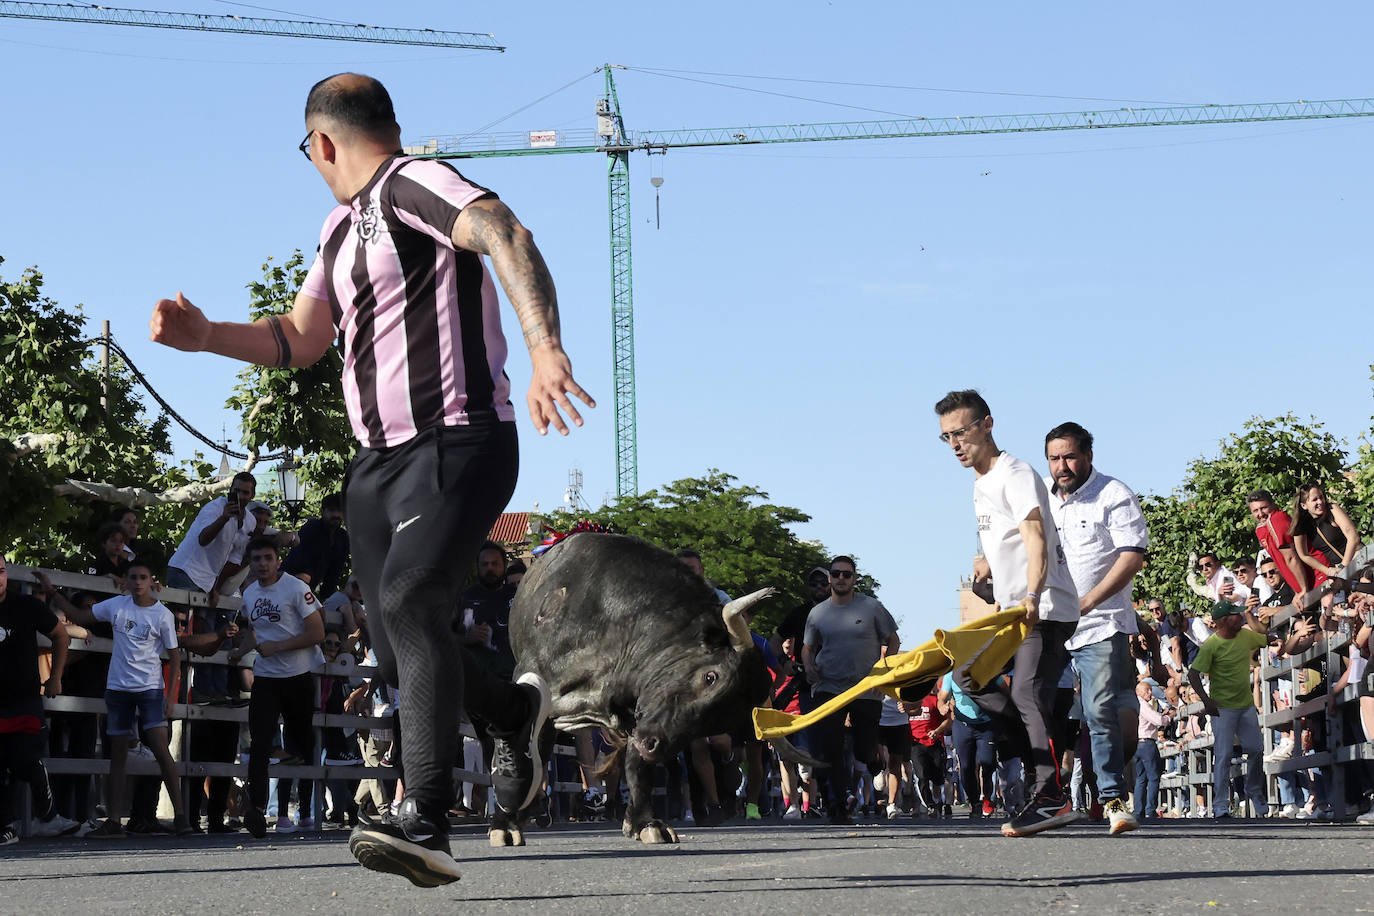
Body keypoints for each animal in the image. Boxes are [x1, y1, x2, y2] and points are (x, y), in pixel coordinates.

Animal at [505, 532, 807, 851]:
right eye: (711, 676)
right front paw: (508, 824)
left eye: (722, 720)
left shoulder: (642, 717)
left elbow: (638, 767)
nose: (654, 746)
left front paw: (645, 823)